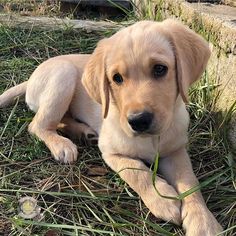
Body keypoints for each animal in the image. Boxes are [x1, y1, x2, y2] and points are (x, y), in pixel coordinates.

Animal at [0, 19, 222, 235]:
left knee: (62, 119)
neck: (149, 140)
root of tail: (31, 78)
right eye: (117, 78)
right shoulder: (111, 153)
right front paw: (162, 200)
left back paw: (84, 133)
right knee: (38, 125)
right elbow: (136, 171)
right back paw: (62, 145)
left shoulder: (176, 151)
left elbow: (190, 183)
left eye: (160, 69)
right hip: (63, 75)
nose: (138, 120)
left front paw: (203, 221)